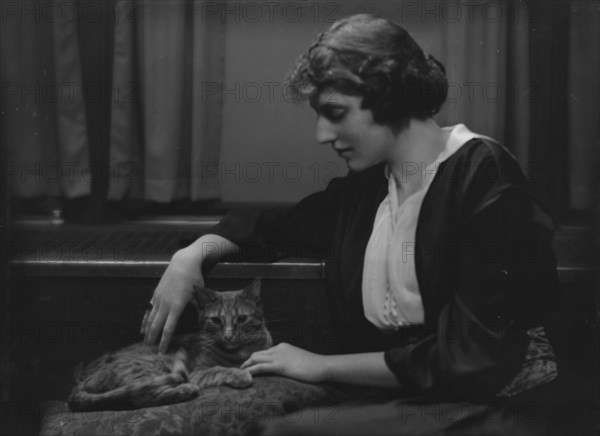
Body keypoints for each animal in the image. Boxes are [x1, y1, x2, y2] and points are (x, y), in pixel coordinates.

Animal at [68, 280, 272, 412]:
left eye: (242, 318)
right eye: (216, 320)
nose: (228, 336)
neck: (238, 352)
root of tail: (78, 383)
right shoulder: (196, 372)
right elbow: (218, 369)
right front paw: (239, 374)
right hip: (152, 366)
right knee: (142, 395)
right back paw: (185, 390)